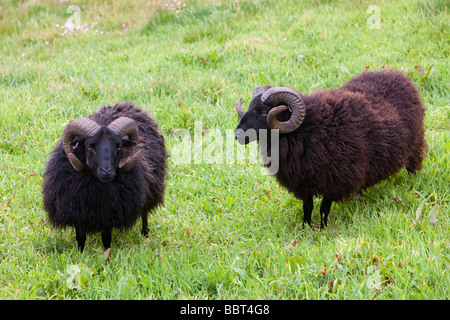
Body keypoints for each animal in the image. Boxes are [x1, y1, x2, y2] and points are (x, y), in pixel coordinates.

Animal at [40, 102, 165, 250]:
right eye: (89, 147)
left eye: (119, 147)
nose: (107, 171)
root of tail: (125, 105)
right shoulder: (77, 212)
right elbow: (80, 237)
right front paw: (81, 252)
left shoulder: (109, 214)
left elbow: (106, 238)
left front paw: (107, 253)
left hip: (151, 188)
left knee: (145, 212)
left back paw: (145, 234)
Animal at [234, 71, 428, 229]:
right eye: (249, 107)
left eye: (262, 113)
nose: (237, 135)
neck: (305, 131)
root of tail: (398, 75)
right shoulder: (303, 182)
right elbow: (308, 207)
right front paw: (305, 228)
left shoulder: (334, 180)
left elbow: (323, 208)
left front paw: (323, 228)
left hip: (415, 144)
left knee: (414, 165)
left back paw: (413, 183)